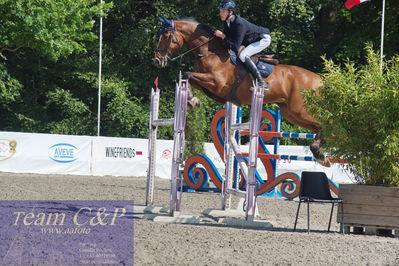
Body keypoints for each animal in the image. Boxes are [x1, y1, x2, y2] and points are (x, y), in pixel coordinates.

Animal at [155, 17, 330, 166]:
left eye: (165, 36)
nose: (157, 61)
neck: (211, 52)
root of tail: (319, 80)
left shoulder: (216, 83)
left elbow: (187, 74)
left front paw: (192, 101)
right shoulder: (205, 82)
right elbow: (187, 77)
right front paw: (192, 101)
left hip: (300, 110)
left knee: (323, 125)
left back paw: (320, 155)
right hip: (291, 113)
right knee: (319, 128)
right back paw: (321, 154)